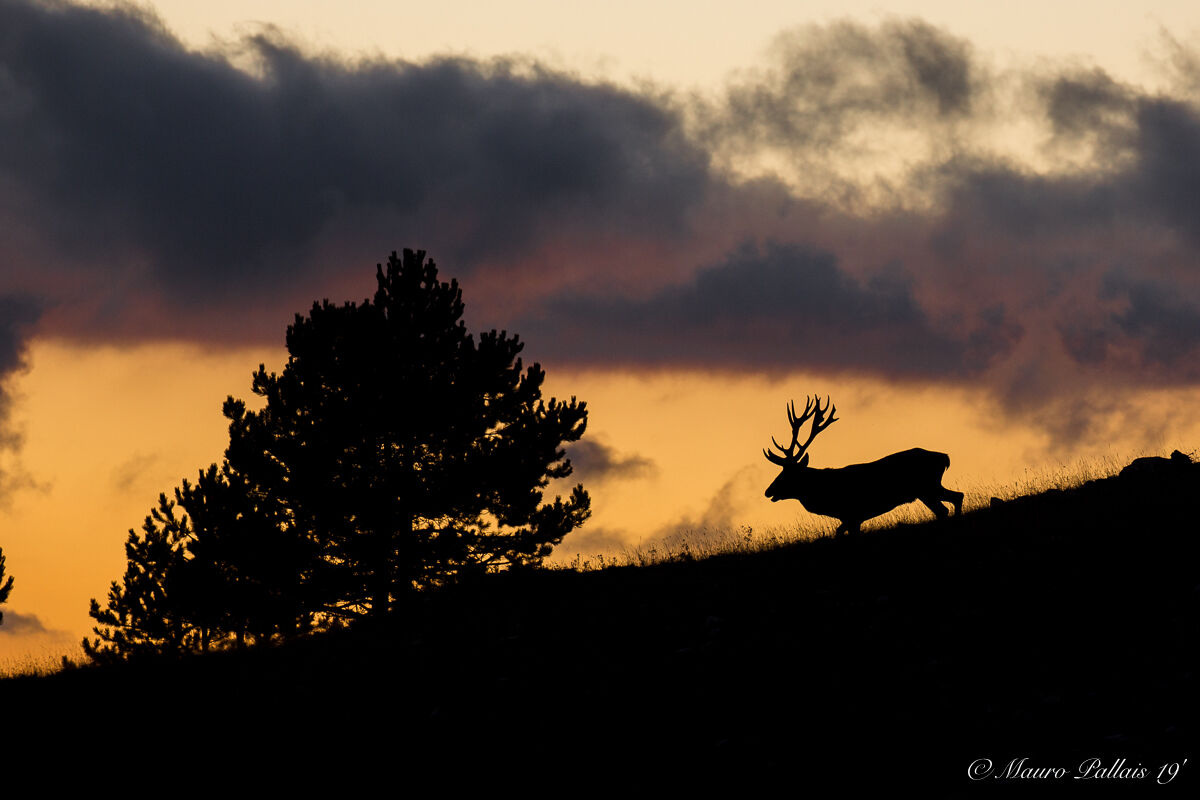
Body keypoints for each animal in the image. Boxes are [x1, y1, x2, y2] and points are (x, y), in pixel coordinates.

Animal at [763, 395, 964, 536]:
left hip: (927, 487)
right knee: (954, 499)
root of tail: (944, 458)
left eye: (788, 474)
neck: (825, 493)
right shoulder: (853, 517)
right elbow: (839, 532)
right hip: (928, 489)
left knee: (950, 503)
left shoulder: (853, 513)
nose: (768, 491)